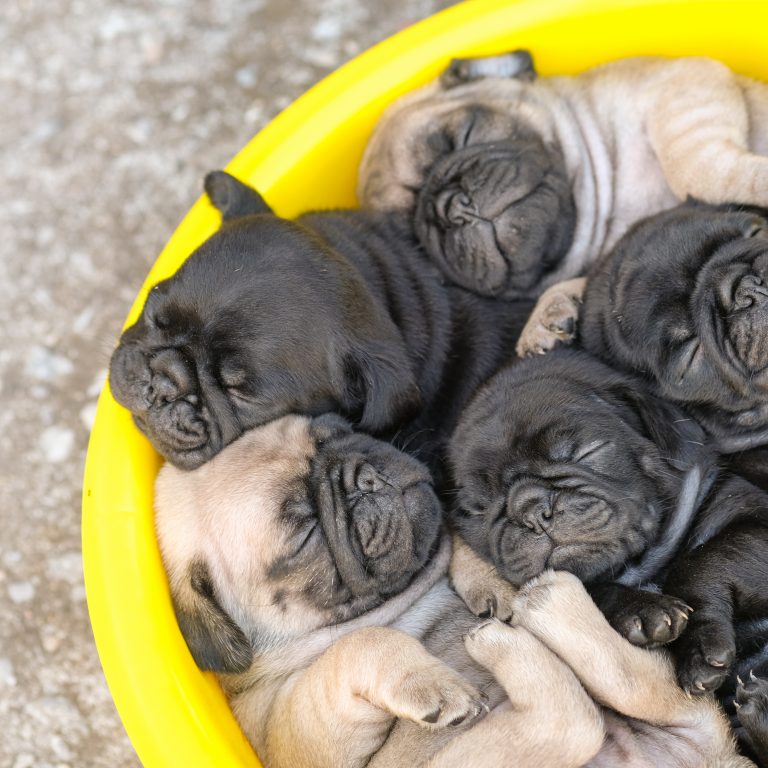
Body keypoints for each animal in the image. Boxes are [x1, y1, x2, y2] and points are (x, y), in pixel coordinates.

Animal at [154, 414, 752, 768]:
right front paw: (430, 680)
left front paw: (491, 583)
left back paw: (532, 608)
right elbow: (361, 645)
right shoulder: (298, 741)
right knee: (567, 722)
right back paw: (521, 624)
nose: (363, 474)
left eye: (334, 430)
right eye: (304, 530)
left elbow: (455, 537)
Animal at [356, 54, 768, 354]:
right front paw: (547, 315)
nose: (450, 208)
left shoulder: (684, 86)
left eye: (463, 135)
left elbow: (695, 168)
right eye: (417, 242)